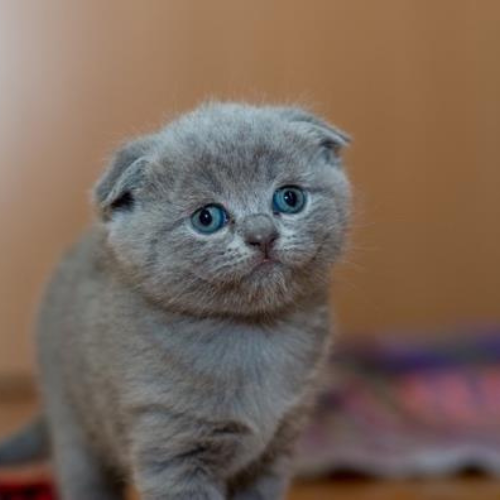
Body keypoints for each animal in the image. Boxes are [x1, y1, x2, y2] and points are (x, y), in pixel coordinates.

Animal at [0, 102, 352, 500]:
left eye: (289, 198)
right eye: (207, 218)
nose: (262, 233)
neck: (255, 338)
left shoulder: (277, 445)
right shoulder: (171, 444)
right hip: (74, 418)